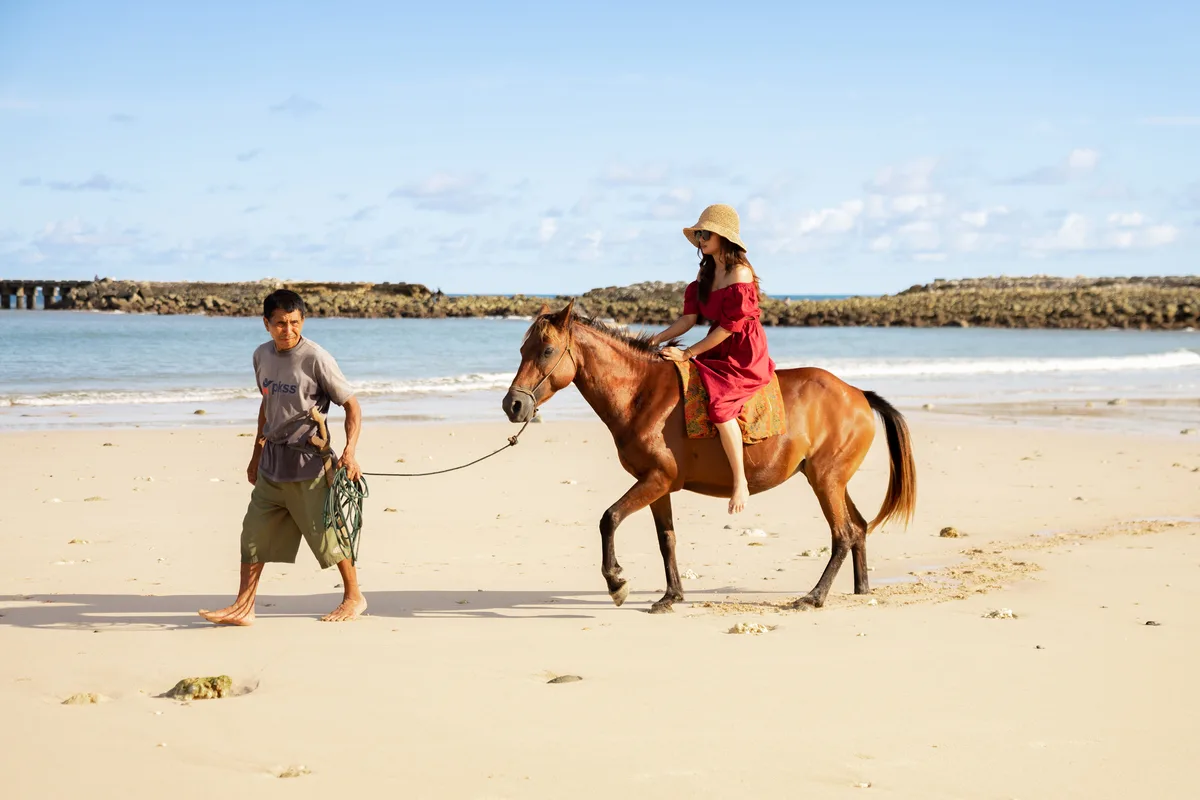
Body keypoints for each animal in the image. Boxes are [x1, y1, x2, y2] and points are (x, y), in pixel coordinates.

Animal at [501, 302, 912, 614]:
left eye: (547, 351)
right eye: (521, 351)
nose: (513, 405)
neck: (643, 395)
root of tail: (858, 394)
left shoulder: (655, 479)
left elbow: (609, 518)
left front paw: (616, 582)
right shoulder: (658, 484)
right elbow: (666, 539)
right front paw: (671, 596)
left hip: (826, 481)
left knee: (842, 534)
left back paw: (814, 597)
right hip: (832, 480)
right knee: (858, 528)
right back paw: (861, 588)